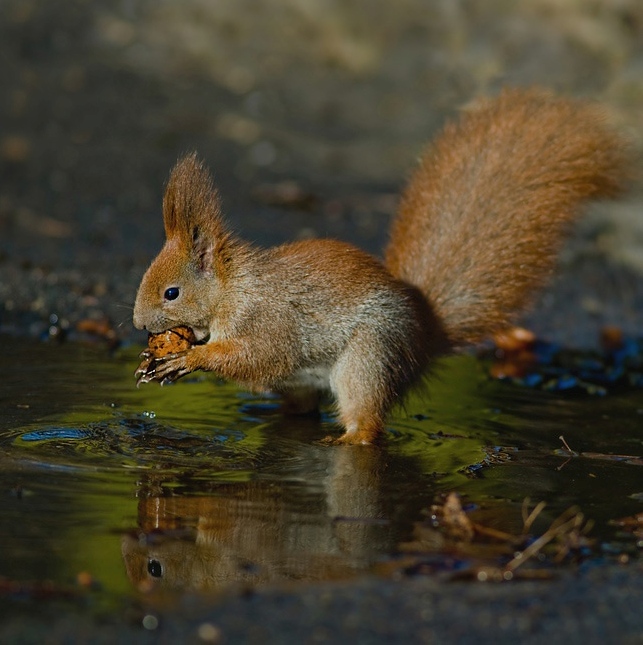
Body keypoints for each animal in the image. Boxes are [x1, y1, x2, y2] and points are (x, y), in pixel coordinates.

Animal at [133, 89, 632, 442]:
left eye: (171, 293)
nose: (138, 324)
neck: (231, 289)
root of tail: (427, 333)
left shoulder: (267, 319)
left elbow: (259, 355)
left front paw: (190, 358)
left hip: (370, 360)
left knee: (366, 426)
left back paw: (342, 441)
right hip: (310, 382)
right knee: (303, 410)